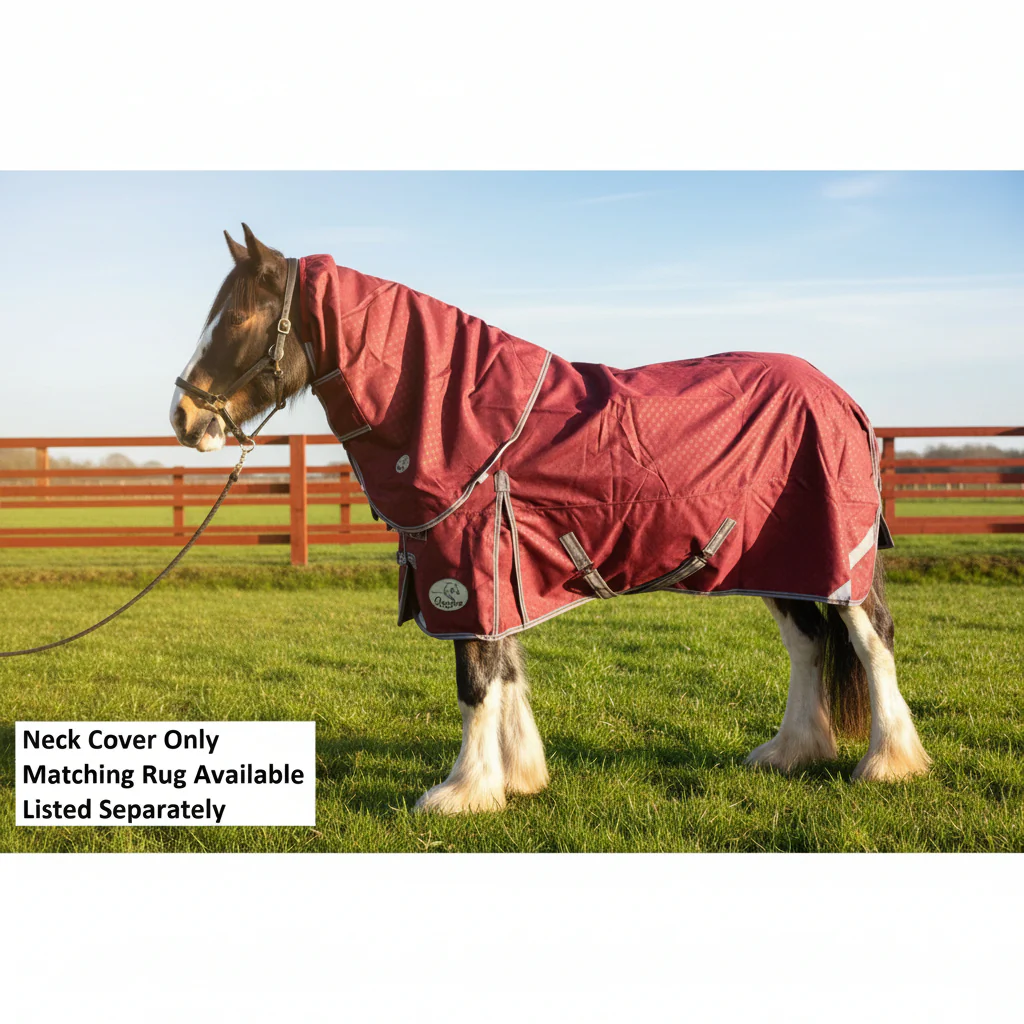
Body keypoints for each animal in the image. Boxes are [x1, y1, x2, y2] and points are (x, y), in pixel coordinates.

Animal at [170, 224, 931, 814]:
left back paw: (888, 763)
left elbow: (476, 679)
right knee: (808, 644)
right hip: (778, 561)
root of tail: (842, 398)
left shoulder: (467, 566)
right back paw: (790, 752)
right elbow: (505, 669)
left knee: (871, 640)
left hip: (838, 556)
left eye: (236, 320)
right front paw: (517, 777)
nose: (183, 417)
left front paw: (463, 792)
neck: (465, 417)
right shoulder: (496, 572)